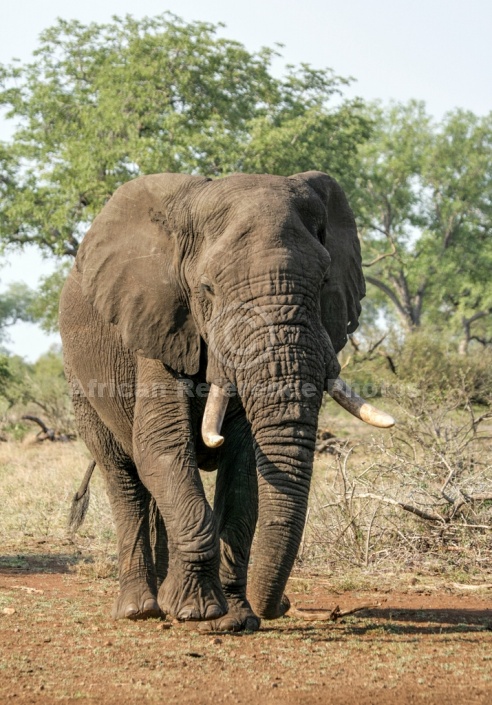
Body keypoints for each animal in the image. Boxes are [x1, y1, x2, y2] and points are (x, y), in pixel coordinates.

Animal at [59, 172, 394, 632]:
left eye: (325, 279)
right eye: (208, 288)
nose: (281, 605)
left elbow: (244, 466)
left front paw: (234, 619)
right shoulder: (159, 322)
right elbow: (161, 445)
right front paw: (196, 611)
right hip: (80, 380)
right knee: (124, 476)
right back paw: (141, 608)